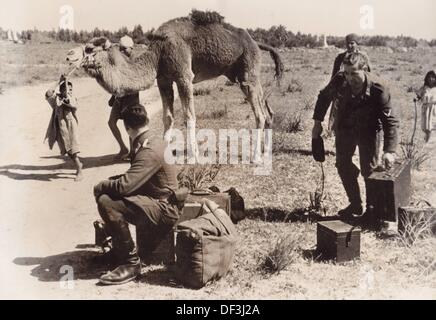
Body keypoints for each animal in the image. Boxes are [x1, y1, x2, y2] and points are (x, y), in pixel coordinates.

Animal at [67, 10, 286, 161]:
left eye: (89, 48)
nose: (69, 55)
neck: (158, 52)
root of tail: (255, 42)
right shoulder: (163, 79)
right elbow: (168, 117)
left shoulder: (183, 76)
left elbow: (189, 116)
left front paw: (193, 156)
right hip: (244, 75)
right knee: (266, 111)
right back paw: (267, 151)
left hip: (248, 71)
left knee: (259, 114)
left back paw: (256, 156)